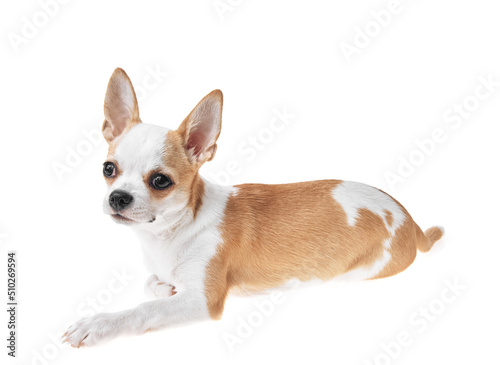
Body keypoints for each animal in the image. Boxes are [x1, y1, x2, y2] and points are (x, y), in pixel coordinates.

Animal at [62, 67, 442, 346]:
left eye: (160, 181)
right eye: (108, 169)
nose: (118, 197)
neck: (170, 233)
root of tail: (410, 221)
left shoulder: (203, 301)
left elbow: (144, 309)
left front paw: (99, 323)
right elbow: (151, 284)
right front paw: (164, 286)